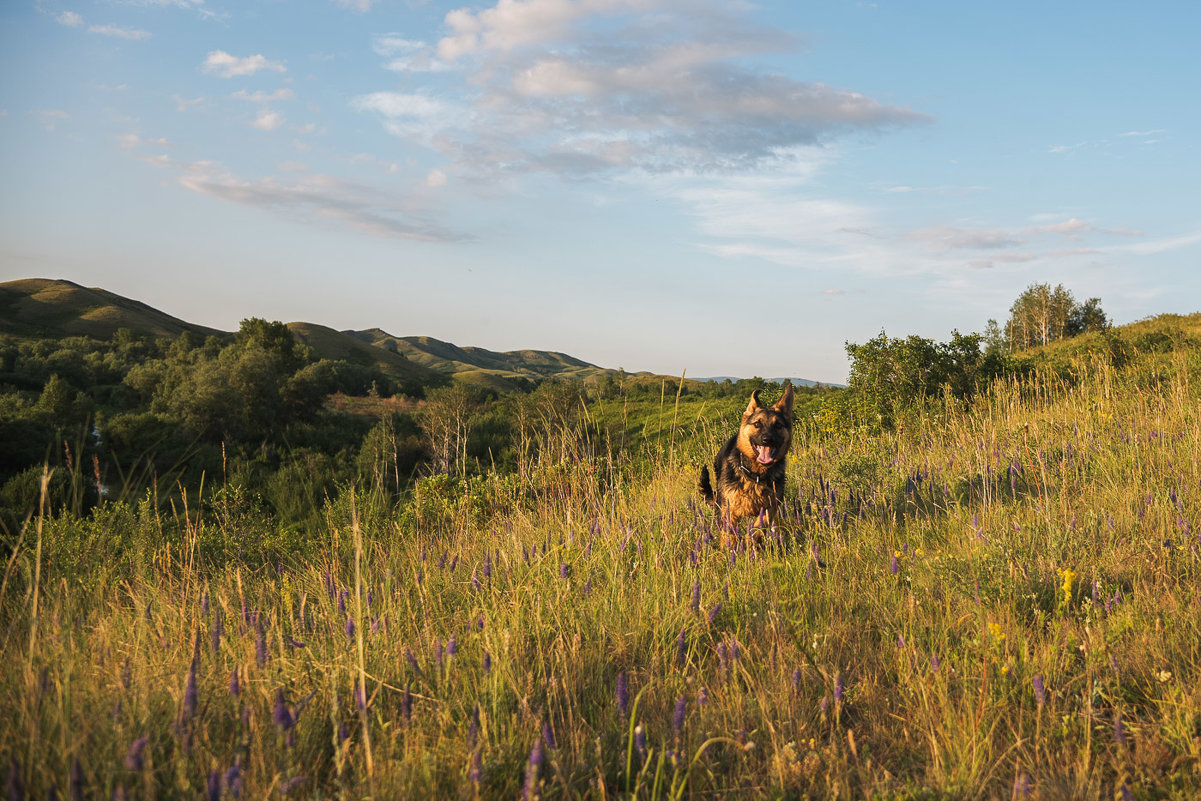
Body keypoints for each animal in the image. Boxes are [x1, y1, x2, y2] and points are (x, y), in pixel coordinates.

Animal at [701, 381, 792, 545]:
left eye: (778, 426)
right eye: (757, 424)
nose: (767, 440)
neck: (756, 475)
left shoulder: (769, 507)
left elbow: (758, 528)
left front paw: (751, 541)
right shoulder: (729, 509)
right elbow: (729, 533)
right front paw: (731, 548)